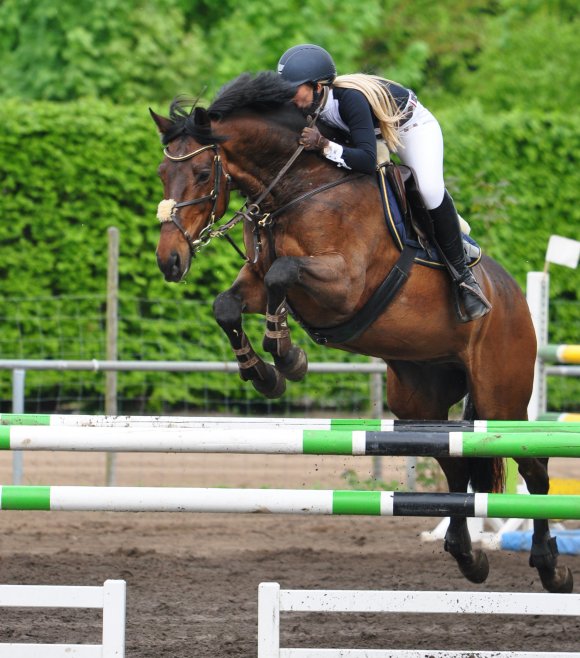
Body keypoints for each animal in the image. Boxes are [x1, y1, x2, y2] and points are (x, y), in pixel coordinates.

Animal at [150, 70, 572, 588]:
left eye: (203, 174)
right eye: (162, 174)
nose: (170, 261)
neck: (297, 186)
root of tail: (513, 296)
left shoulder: (344, 284)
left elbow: (282, 275)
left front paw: (286, 354)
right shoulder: (253, 279)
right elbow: (229, 304)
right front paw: (265, 373)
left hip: (501, 396)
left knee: (534, 466)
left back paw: (551, 567)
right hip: (418, 398)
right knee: (454, 466)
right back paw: (468, 558)